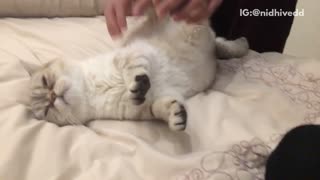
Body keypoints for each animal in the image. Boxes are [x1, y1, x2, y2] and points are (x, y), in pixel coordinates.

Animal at [29, 12, 250, 131]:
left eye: (46, 81)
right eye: (47, 110)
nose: (52, 96)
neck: (93, 91)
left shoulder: (135, 53)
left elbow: (132, 71)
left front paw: (137, 84)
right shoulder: (146, 107)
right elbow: (161, 108)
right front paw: (176, 118)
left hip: (195, 27)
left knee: (220, 42)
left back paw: (243, 43)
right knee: (220, 46)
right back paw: (241, 44)